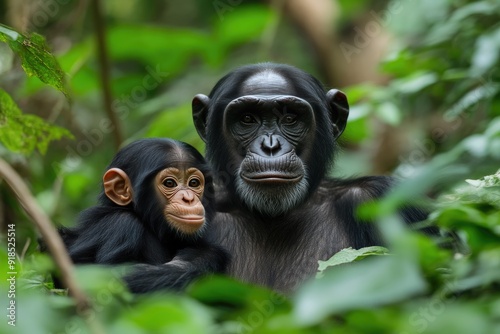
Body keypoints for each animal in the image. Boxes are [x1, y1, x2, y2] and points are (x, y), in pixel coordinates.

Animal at [58, 138, 229, 292]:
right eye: (169, 183)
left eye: (194, 183)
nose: (188, 198)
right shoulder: (121, 226)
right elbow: (110, 279)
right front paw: (202, 257)